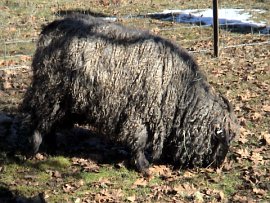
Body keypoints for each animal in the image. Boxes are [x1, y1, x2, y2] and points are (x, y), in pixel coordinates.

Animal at [20, 14, 238, 174]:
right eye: (222, 141)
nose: (219, 167)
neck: (181, 91)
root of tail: (50, 29)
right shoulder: (139, 114)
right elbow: (138, 141)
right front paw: (142, 166)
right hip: (50, 90)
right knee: (38, 116)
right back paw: (32, 148)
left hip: (65, 98)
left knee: (50, 120)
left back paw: (53, 146)